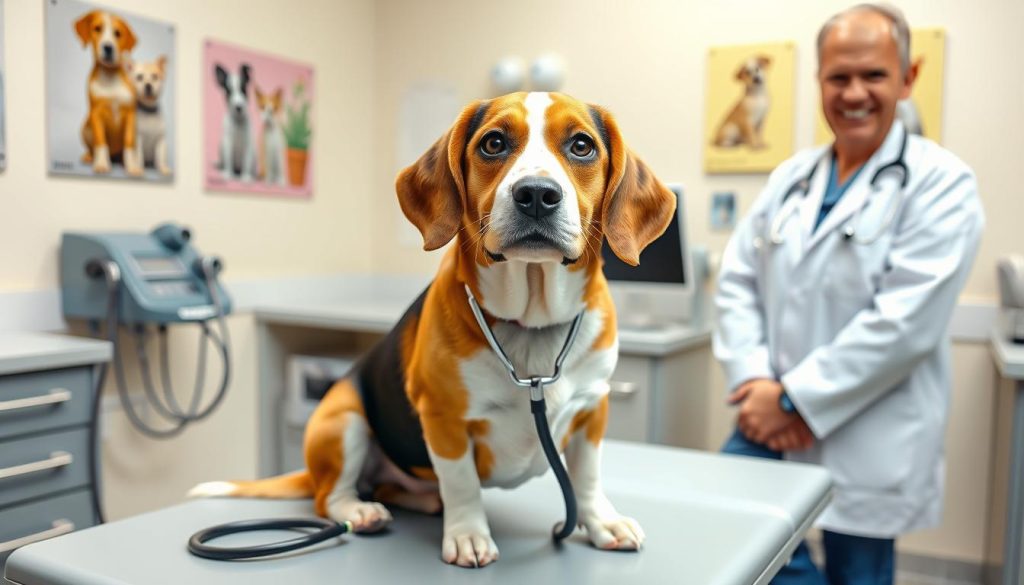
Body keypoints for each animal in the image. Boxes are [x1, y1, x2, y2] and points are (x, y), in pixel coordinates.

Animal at [75, 10, 144, 176]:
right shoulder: (95, 113)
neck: (109, 75)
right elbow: (100, 142)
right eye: (97, 29)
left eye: (117, 33)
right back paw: (89, 157)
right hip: (85, 127)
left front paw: (132, 167)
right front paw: (101, 164)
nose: (108, 47)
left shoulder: (130, 114)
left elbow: (128, 143)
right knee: (93, 148)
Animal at [192, 93, 675, 569]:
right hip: (342, 420)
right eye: (493, 143)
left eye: (581, 146)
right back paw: (362, 511)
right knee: (330, 497)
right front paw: (468, 534)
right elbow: (461, 481)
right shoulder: (443, 417)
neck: (531, 322)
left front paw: (600, 522)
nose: (536, 194)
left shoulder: (594, 406)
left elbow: (587, 477)